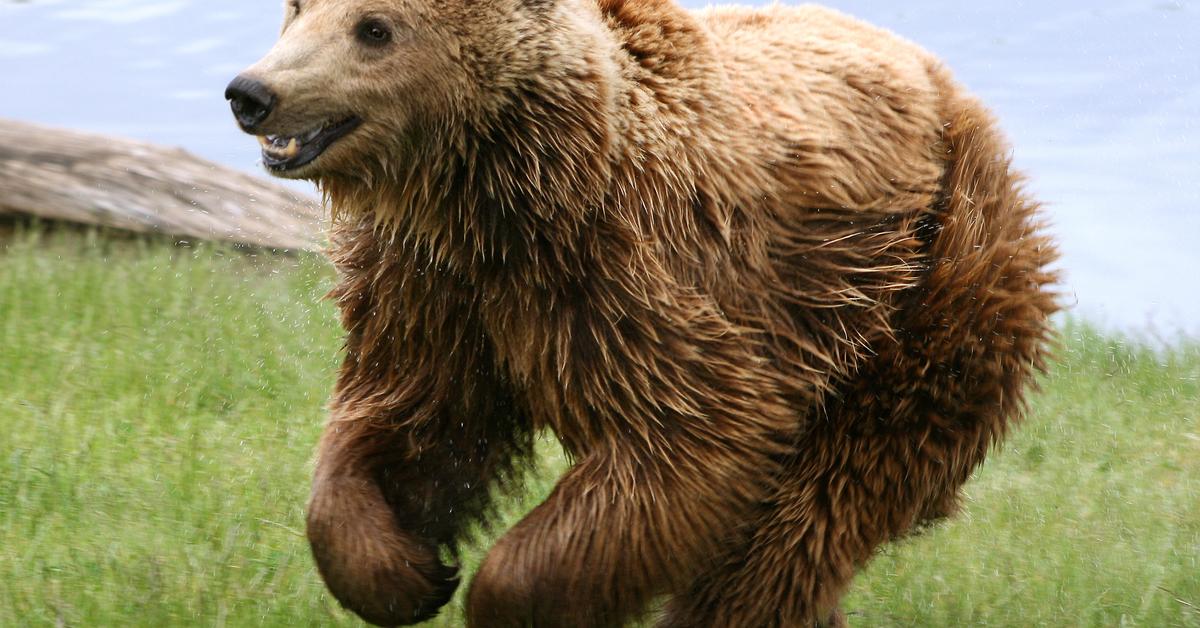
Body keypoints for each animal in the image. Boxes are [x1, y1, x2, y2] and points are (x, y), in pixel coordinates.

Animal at [225, 0, 1060, 624]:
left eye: (374, 28)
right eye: (297, 9)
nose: (251, 92)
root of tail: (949, 86)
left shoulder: (638, 275)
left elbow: (688, 441)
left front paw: (499, 596)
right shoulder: (433, 291)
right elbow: (411, 421)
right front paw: (407, 570)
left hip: (920, 290)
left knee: (814, 512)